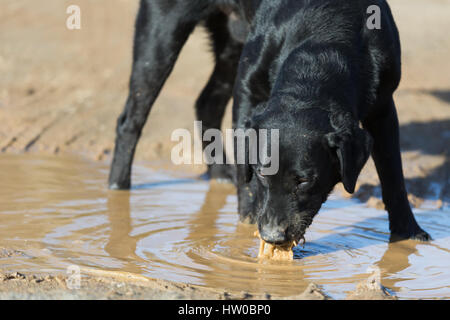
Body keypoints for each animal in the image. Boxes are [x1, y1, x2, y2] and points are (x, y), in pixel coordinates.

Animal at [109, 0, 428, 245]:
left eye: (304, 180)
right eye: (263, 173)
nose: (273, 237)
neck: (324, 46)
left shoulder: (384, 106)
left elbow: (393, 174)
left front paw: (408, 232)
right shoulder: (247, 91)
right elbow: (246, 168)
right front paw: (247, 221)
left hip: (231, 40)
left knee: (207, 101)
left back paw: (219, 172)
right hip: (162, 31)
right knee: (131, 118)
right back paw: (117, 187)